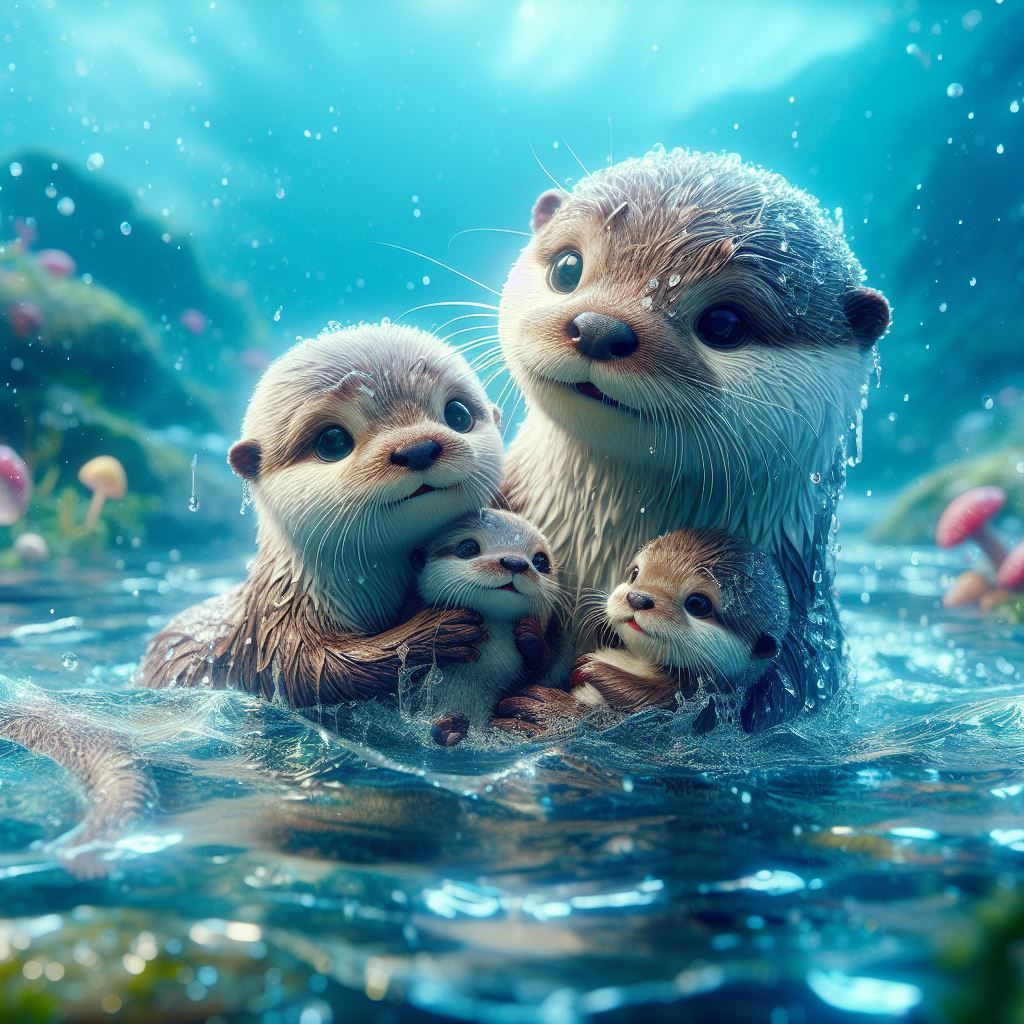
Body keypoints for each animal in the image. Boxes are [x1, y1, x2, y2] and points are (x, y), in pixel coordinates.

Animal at [137, 323, 506, 705]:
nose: (417, 448)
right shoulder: (277, 624)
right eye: (332, 441)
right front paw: (438, 630)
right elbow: (313, 670)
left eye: (458, 414)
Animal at [497, 529, 790, 736]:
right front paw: (531, 637)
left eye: (698, 603)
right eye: (635, 573)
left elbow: (644, 703)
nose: (637, 598)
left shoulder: (688, 700)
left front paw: (587, 671)